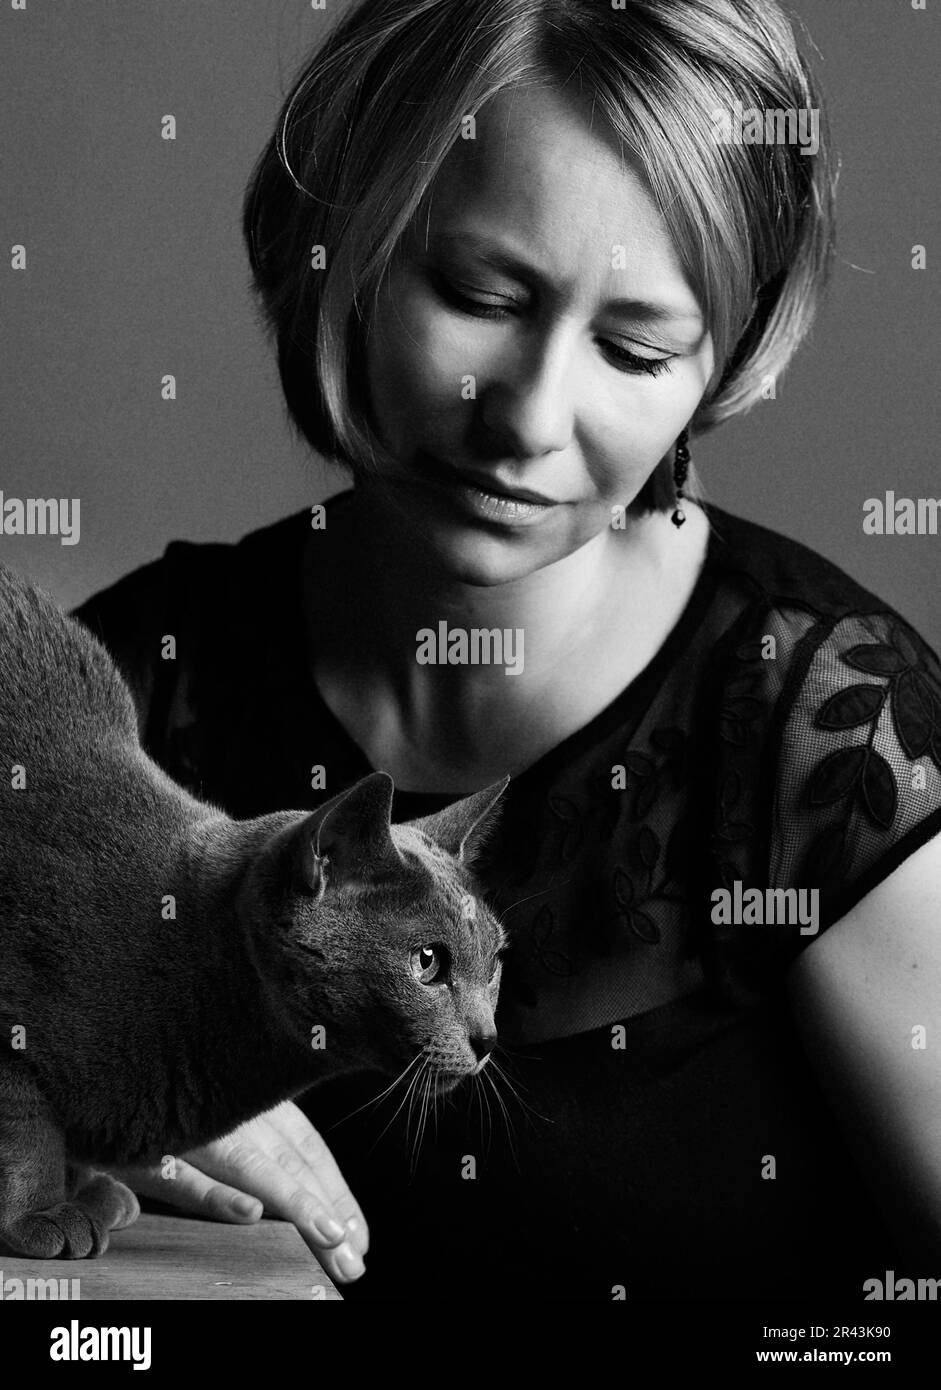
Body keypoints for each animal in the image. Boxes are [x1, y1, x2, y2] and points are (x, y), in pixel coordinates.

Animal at [0, 561, 505, 1262]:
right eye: (427, 962)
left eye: (497, 963)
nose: (488, 1039)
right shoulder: (11, 1034)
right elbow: (26, 1131)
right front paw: (44, 1215)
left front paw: (94, 1194)